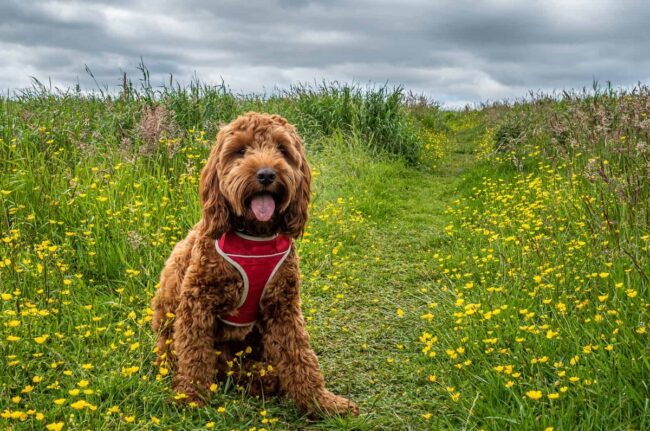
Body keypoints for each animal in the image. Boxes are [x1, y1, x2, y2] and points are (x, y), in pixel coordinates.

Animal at [151, 113, 356, 416]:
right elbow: (194, 355)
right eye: (240, 151)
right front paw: (190, 397)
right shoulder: (196, 303)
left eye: (282, 149)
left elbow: (301, 357)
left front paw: (322, 403)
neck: (255, 237)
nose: (266, 174)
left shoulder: (283, 306)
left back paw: (263, 377)